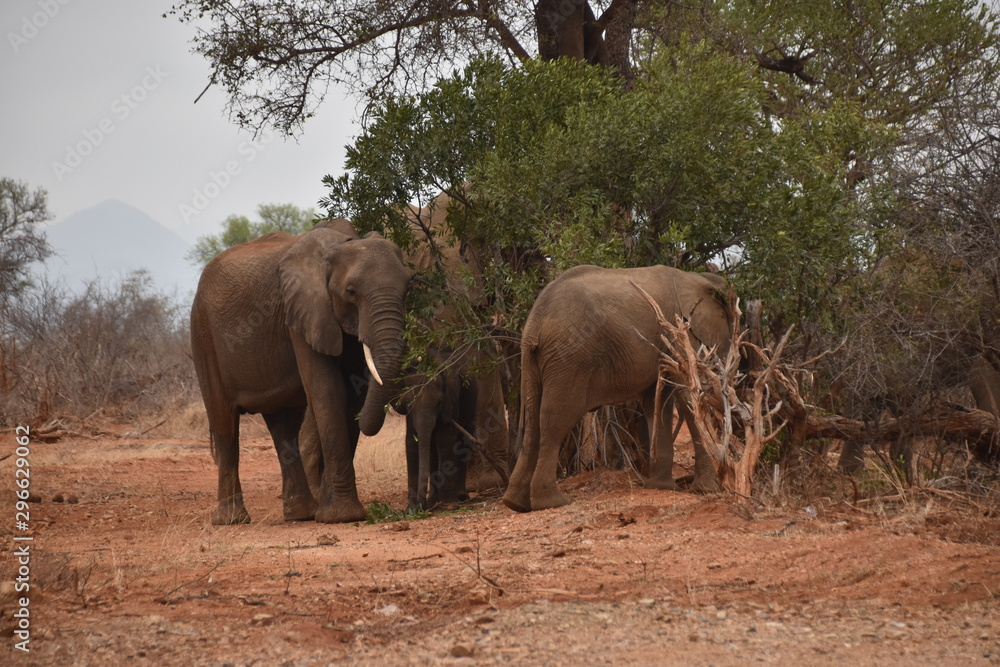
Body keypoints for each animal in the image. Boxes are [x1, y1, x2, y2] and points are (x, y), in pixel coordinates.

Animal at [190, 221, 411, 525]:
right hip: (202, 332)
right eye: (351, 291)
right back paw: (232, 520)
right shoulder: (302, 312)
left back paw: (301, 514)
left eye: (408, 288)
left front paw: (330, 512)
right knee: (224, 420)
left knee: (283, 425)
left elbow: (354, 395)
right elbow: (328, 390)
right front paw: (342, 517)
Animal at [502, 264, 735, 513]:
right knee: (555, 420)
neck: (698, 278)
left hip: (533, 360)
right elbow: (689, 396)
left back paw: (515, 503)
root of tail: (535, 323)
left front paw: (662, 487)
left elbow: (657, 401)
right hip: (568, 359)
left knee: (532, 420)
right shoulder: (679, 331)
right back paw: (553, 502)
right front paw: (707, 489)